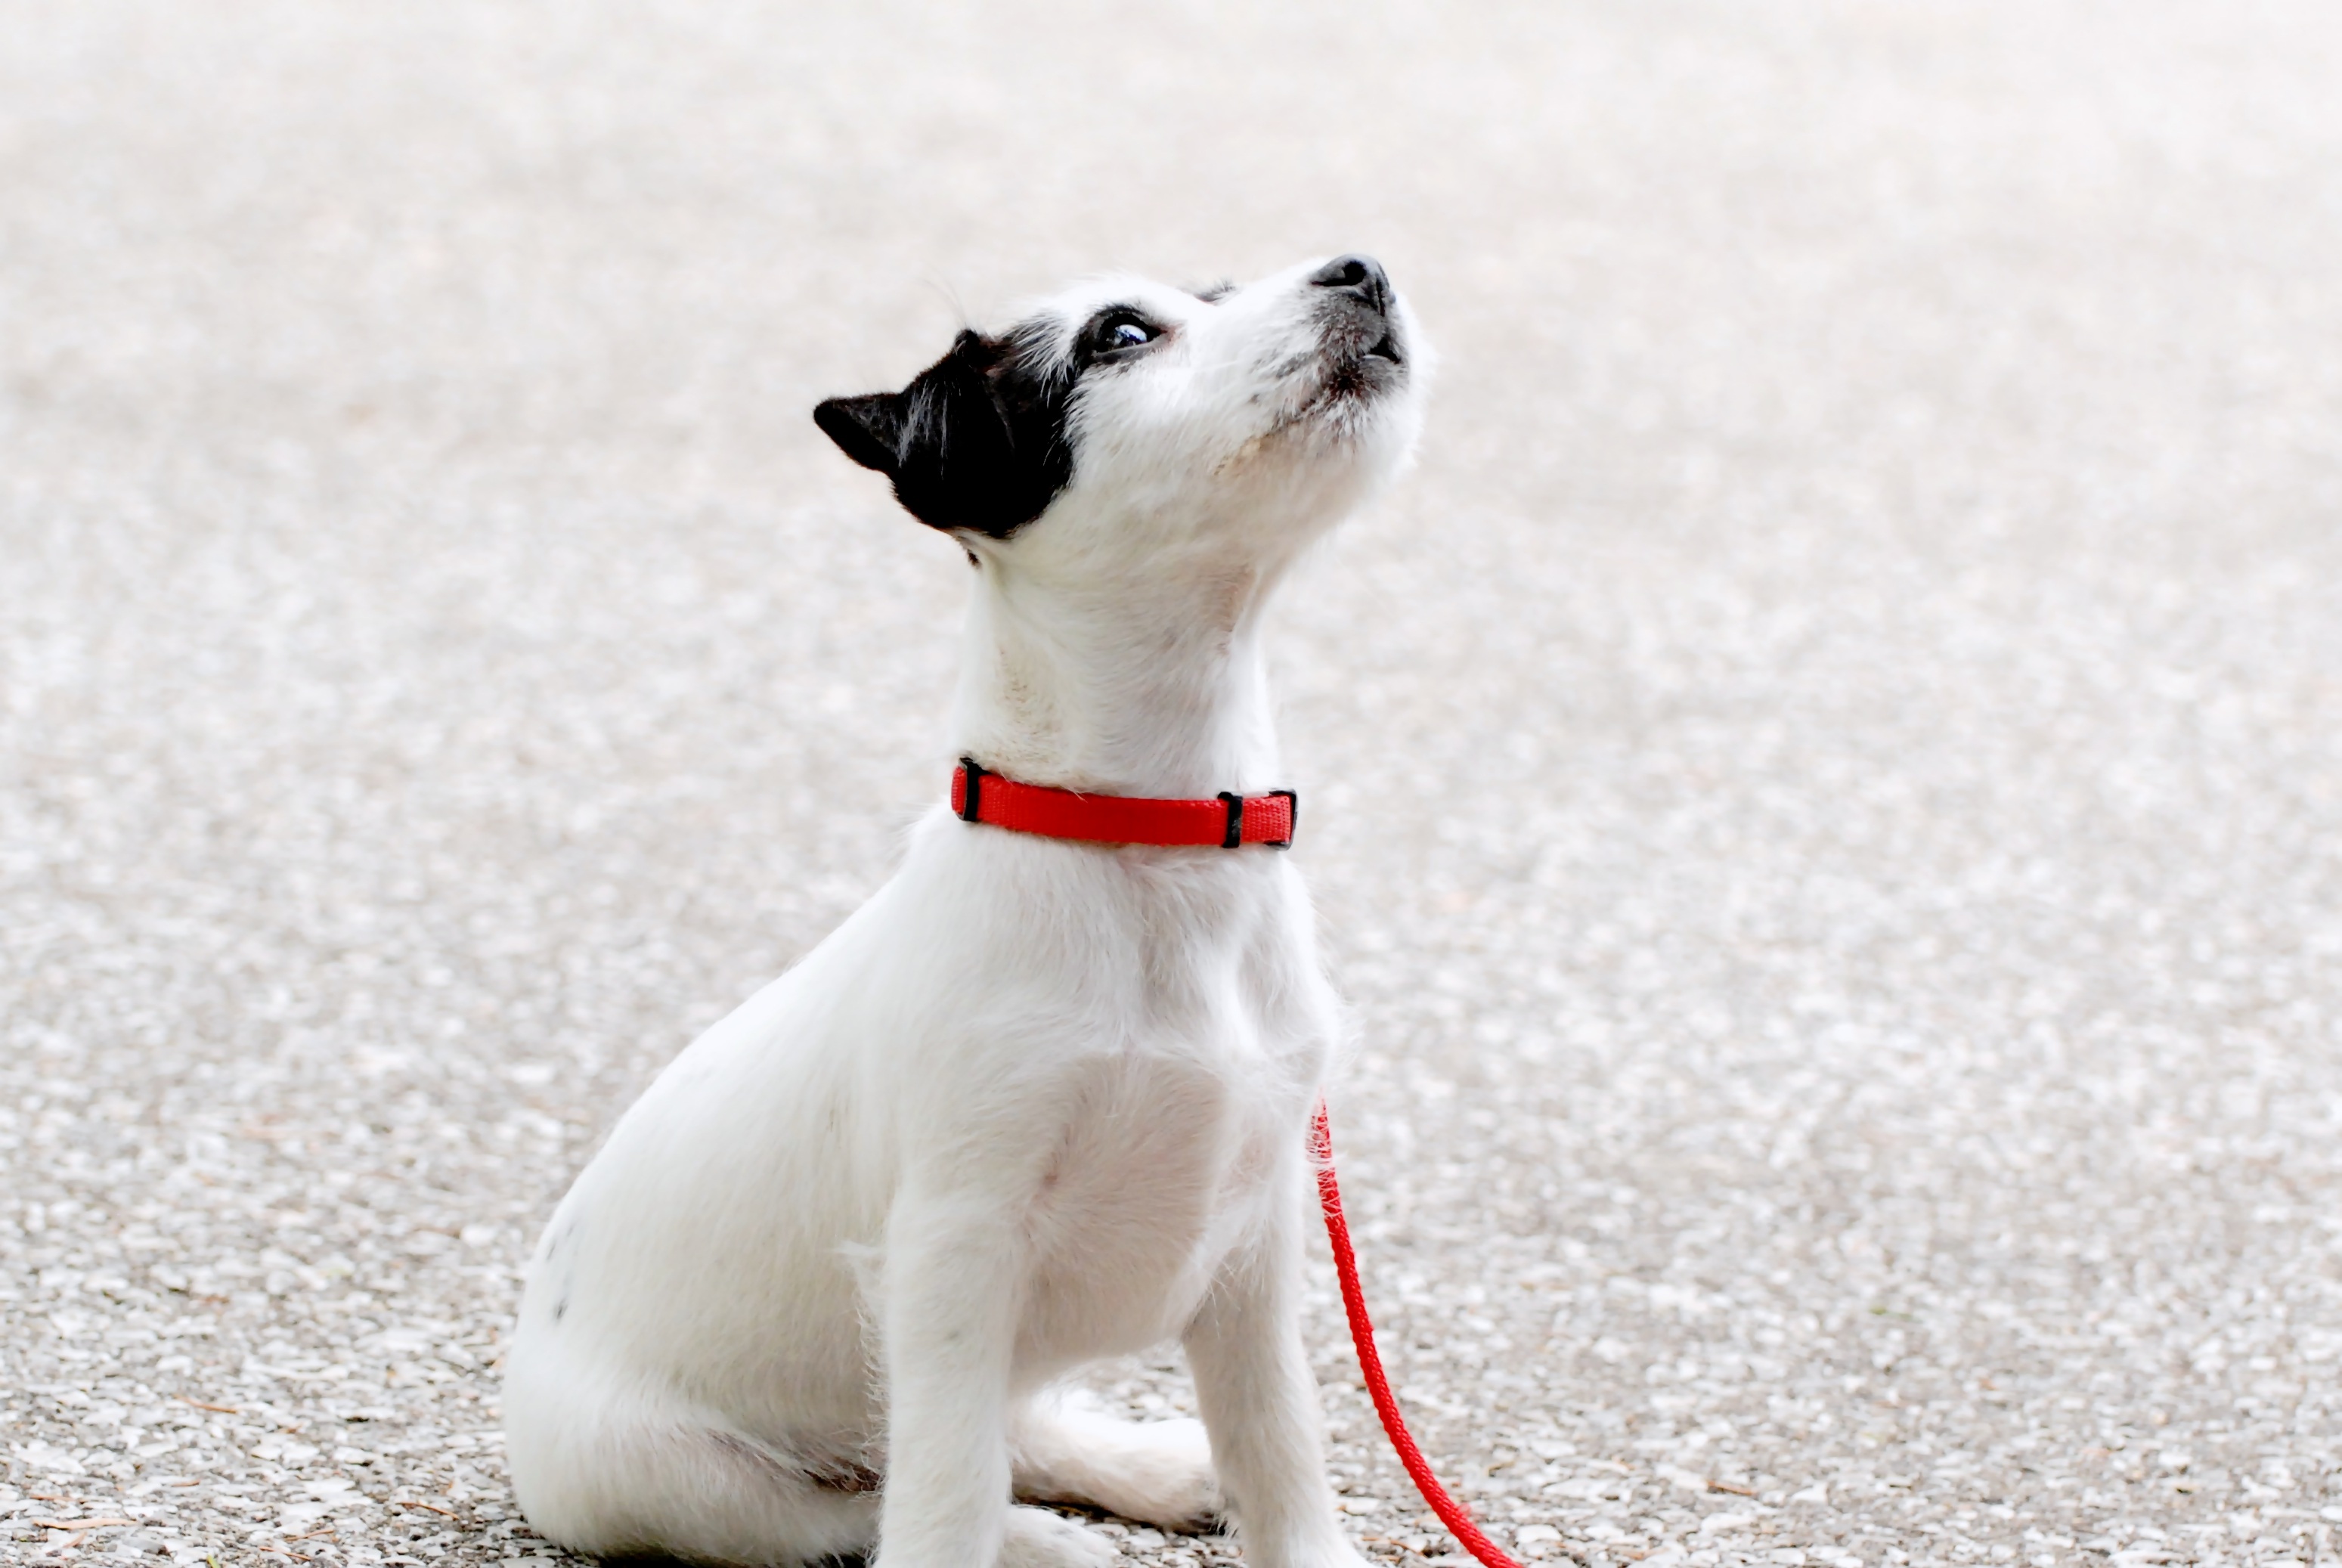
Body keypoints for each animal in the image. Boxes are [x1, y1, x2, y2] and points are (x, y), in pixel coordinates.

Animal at [500, 250, 1423, 1556]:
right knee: (863, 1502)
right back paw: (1049, 1540)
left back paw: (1142, 1469)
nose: (1361, 267)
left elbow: (1277, 1435)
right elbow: (942, 1487)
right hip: (665, 1473)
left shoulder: (1256, 1236)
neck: (1144, 834)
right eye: (1121, 334)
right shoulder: (951, 1248)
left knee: (995, 1435)